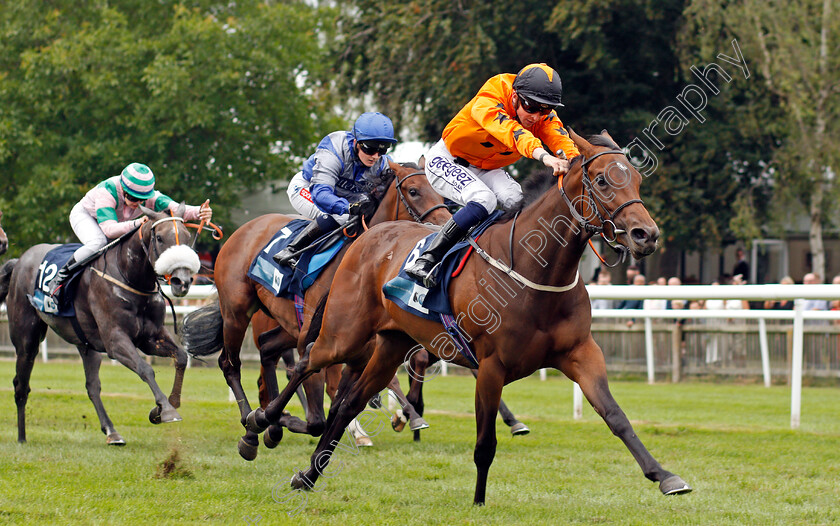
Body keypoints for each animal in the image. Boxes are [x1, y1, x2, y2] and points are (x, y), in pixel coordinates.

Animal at [0, 208, 200, 448]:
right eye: (159, 238)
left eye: (187, 238)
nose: (182, 281)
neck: (130, 277)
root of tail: (19, 261)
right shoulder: (115, 340)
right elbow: (145, 369)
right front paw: (166, 409)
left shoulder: (151, 337)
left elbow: (180, 357)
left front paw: (164, 407)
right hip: (26, 339)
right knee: (21, 385)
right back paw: (21, 437)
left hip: (86, 344)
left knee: (92, 386)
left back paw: (112, 432)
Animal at [180, 162, 450, 462]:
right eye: (413, 191)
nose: (445, 225)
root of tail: (243, 230)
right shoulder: (318, 344)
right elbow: (318, 417)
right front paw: (269, 421)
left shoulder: (362, 353)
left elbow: (338, 406)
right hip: (237, 312)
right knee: (230, 364)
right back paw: (251, 426)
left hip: (286, 326)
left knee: (266, 348)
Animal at [246, 130, 692, 506]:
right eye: (601, 181)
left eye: (637, 179)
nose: (646, 235)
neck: (533, 268)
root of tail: (369, 238)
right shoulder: (492, 366)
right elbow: (485, 443)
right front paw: (478, 501)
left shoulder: (581, 353)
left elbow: (616, 417)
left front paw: (665, 476)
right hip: (345, 333)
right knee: (307, 362)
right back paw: (259, 424)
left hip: (389, 344)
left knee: (347, 403)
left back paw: (307, 474)